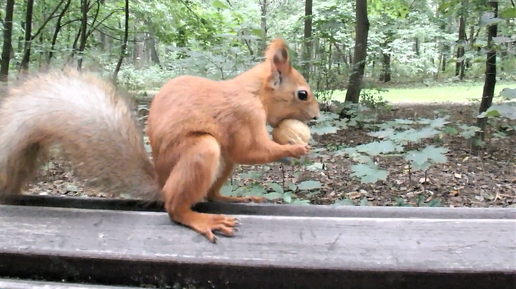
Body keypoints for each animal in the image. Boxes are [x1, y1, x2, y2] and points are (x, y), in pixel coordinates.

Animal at [0, 37, 318, 241]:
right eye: (302, 94)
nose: (315, 116)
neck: (254, 93)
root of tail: (162, 183)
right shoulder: (243, 115)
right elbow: (250, 150)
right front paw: (295, 147)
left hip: (220, 163)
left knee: (210, 194)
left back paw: (233, 197)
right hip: (201, 150)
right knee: (175, 208)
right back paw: (201, 220)